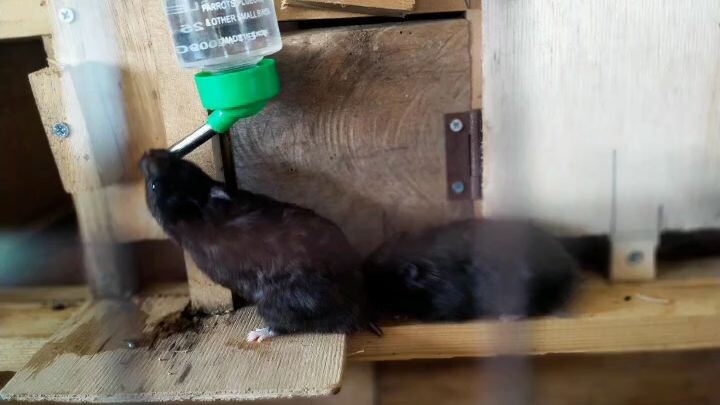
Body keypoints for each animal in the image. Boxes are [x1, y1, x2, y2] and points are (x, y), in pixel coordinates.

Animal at [140, 149, 376, 341]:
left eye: (152, 186)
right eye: (181, 162)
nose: (147, 153)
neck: (199, 205)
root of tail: (361, 313)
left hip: (274, 303)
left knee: (287, 326)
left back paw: (257, 334)